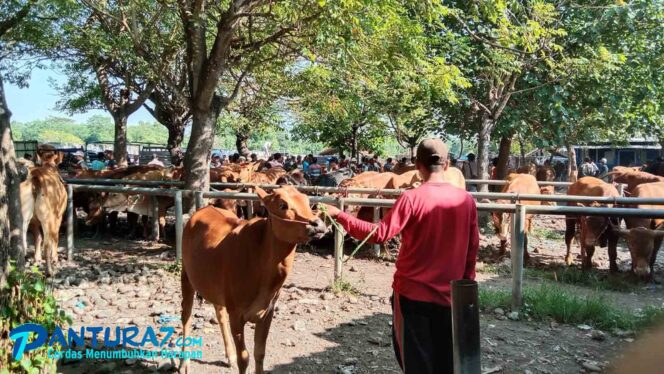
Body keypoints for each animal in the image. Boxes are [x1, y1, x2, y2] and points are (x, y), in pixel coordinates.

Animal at [180, 187, 328, 374]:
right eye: (283, 205)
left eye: (307, 201)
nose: (318, 225)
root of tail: (204, 209)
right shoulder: (236, 314)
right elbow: (244, 358)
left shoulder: (267, 312)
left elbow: (260, 353)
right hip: (186, 275)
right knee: (186, 315)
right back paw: (184, 363)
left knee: (219, 313)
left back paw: (229, 356)